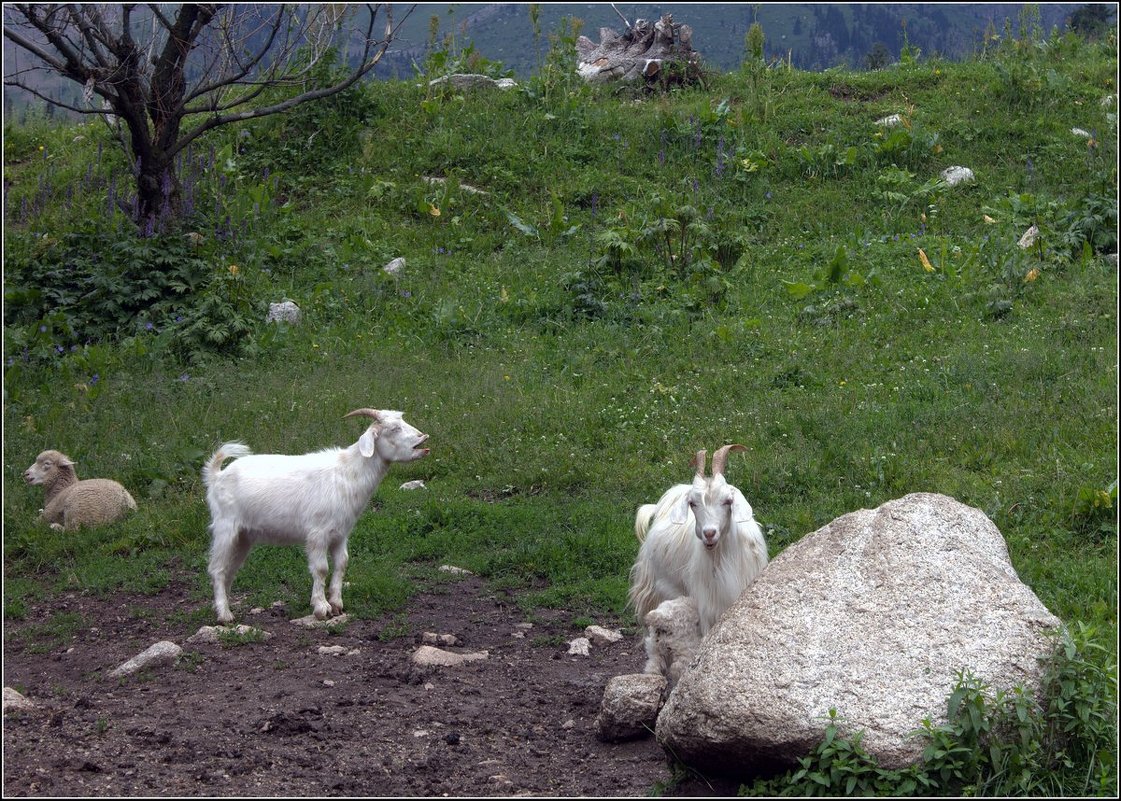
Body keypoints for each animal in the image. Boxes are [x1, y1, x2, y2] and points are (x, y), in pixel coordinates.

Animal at [201, 407, 428, 627]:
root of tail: (216, 475)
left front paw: (336, 604)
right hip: (225, 527)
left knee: (230, 570)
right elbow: (321, 569)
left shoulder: (340, 534)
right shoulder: (318, 533)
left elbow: (341, 564)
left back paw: (225, 608)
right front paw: (321, 608)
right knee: (217, 569)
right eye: (393, 429)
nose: (423, 438)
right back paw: (224, 615)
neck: (347, 473)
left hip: (244, 537)